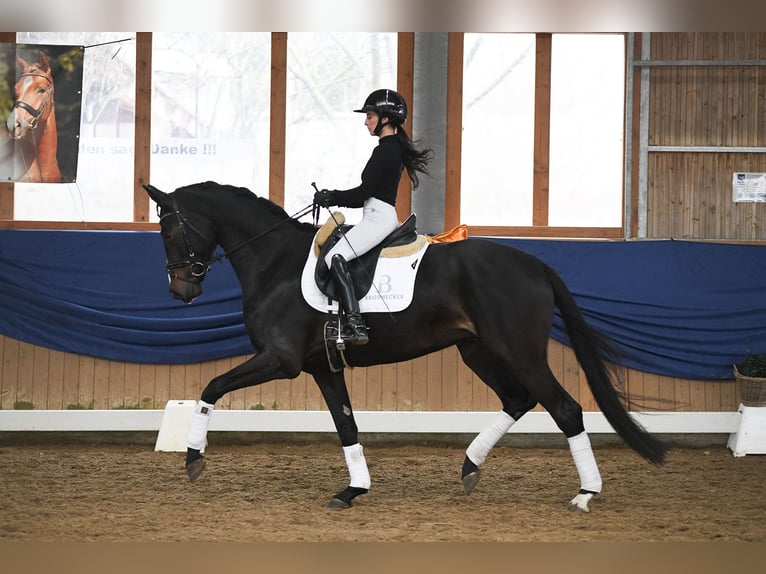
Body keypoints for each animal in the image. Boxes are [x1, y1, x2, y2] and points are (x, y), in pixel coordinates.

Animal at [147, 181, 668, 512]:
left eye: (168, 230)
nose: (180, 290)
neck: (275, 263)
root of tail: (534, 264)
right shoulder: (323, 367)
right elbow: (346, 425)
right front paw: (354, 489)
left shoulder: (281, 360)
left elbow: (212, 386)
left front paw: (193, 457)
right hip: (478, 351)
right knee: (518, 399)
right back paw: (470, 466)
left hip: (518, 351)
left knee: (565, 408)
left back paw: (585, 494)